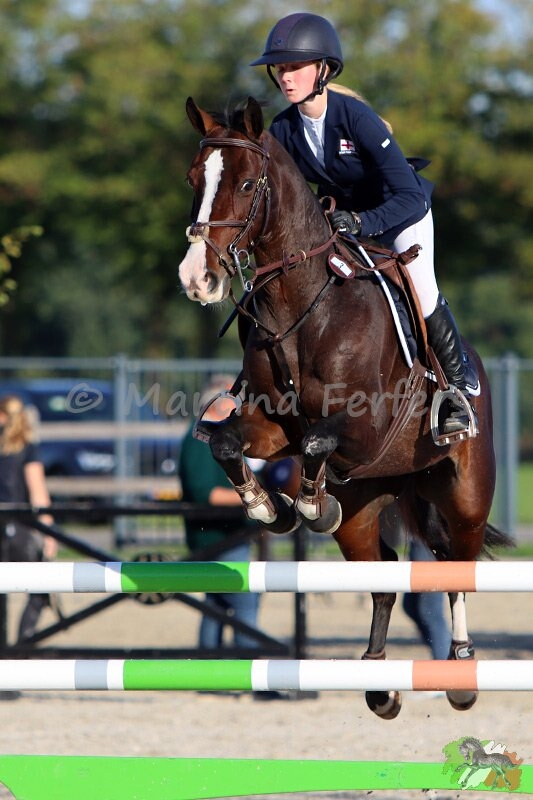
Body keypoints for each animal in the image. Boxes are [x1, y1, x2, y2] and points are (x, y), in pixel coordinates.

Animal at [178, 96, 512, 719]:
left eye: (247, 183)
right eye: (193, 180)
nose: (197, 279)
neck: (301, 304)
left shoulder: (367, 424)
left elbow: (318, 439)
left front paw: (307, 503)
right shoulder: (269, 425)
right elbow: (229, 442)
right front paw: (271, 507)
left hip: (465, 493)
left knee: (457, 567)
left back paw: (460, 672)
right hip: (365, 507)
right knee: (382, 576)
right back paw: (380, 684)